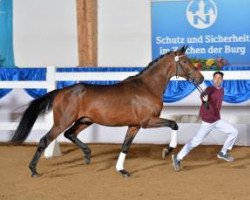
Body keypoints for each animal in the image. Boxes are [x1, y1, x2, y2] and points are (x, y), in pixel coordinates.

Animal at [11, 45, 203, 177]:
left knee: (69, 134)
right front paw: (167, 151)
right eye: (184, 61)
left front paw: (122, 170)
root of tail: (60, 91)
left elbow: (125, 146)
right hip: (63, 121)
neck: (147, 87)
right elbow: (174, 124)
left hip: (85, 120)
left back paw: (87, 155)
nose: (200, 78)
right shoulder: (147, 121)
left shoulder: (134, 125)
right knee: (45, 140)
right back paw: (33, 170)